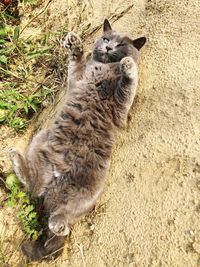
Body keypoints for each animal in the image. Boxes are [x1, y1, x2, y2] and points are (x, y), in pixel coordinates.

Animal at [8, 19, 146, 262]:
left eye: (121, 45)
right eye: (106, 38)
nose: (108, 47)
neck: (104, 67)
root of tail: (52, 183)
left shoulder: (121, 110)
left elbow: (127, 85)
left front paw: (128, 66)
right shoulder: (77, 80)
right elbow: (75, 66)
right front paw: (74, 44)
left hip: (87, 190)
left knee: (63, 216)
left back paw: (59, 224)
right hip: (41, 140)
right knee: (33, 187)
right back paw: (16, 159)